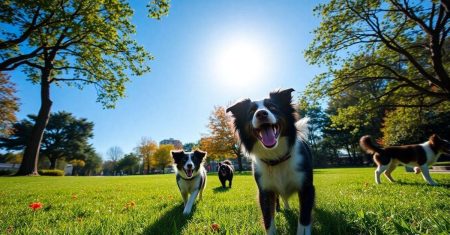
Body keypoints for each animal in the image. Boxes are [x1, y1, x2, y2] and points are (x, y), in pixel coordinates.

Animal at [227, 88, 314, 235]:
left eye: (272, 107)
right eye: (251, 112)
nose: (261, 114)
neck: (276, 157)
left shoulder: (306, 187)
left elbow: (304, 217)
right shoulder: (265, 191)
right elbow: (268, 219)